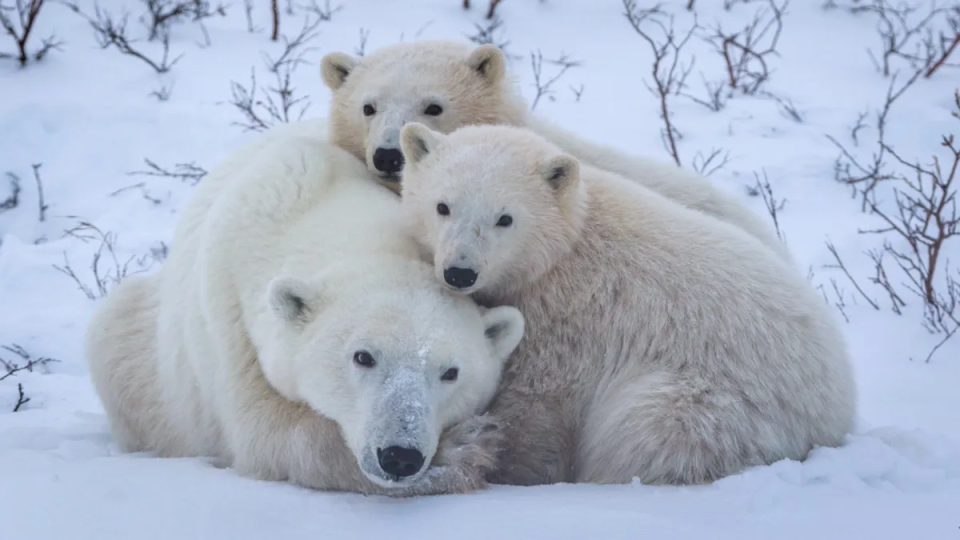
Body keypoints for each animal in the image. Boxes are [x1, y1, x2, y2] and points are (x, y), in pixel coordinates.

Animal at [86, 126, 524, 498]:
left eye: (451, 372)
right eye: (363, 356)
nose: (400, 456)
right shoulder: (233, 321)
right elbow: (267, 434)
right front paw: (468, 446)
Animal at [394, 122, 860, 486]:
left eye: (504, 218)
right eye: (442, 206)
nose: (460, 272)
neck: (563, 249)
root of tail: (838, 411)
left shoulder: (569, 320)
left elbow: (535, 406)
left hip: (715, 407)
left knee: (645, 432)